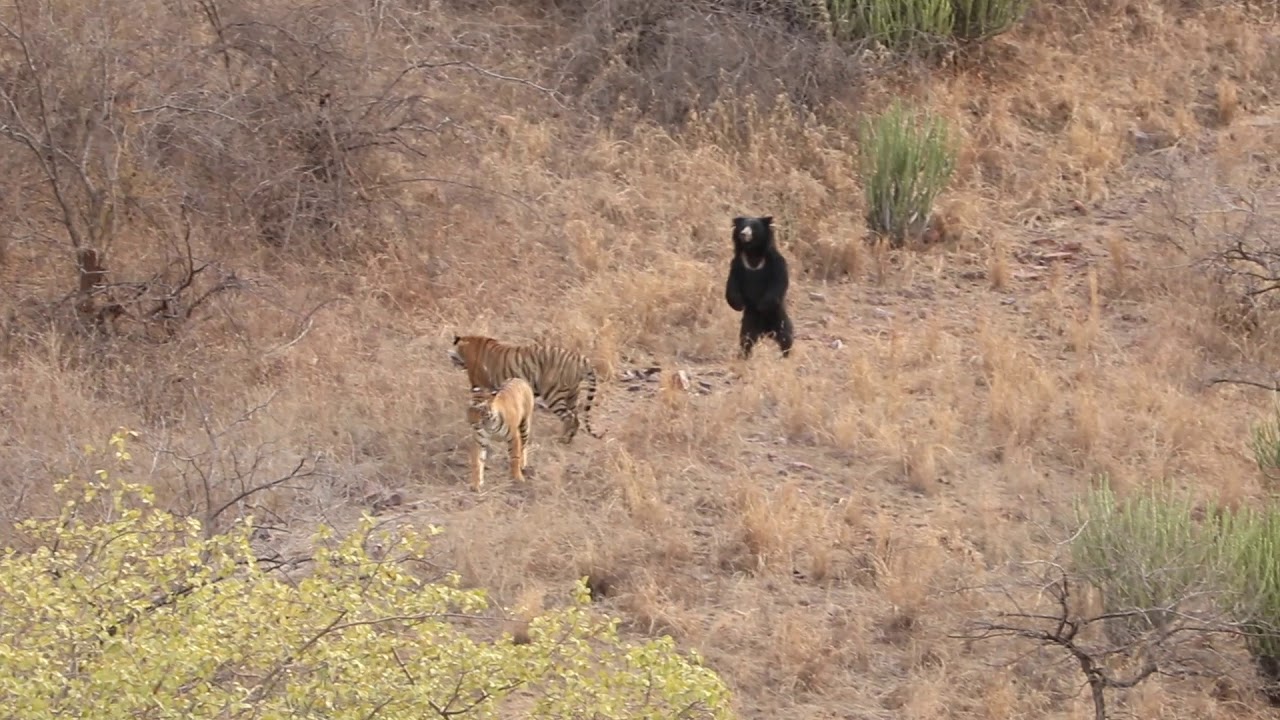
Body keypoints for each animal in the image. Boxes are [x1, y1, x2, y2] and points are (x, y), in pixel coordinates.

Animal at [448, 334, 606, 445]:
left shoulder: (479, 386)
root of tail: (581, 359)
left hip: (553, 394)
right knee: (576, 418)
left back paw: (561, 439)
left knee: (569, 417)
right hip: (572, 394)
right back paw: (569, 439)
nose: (451, 361)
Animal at [724, 215, 794, 359]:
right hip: (750, 321)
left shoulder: (776, 262)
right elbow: (732, 284)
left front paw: (762, 305)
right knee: (746, 339)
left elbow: (778, 283)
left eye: (754, 228)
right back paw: (744, 356)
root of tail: (766, 330)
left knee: (785, 336)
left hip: (778, 317)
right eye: (743, 227)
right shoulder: (737, 264)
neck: (753, 251)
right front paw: (738, 305)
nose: (743, 234)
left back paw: (785, 355)